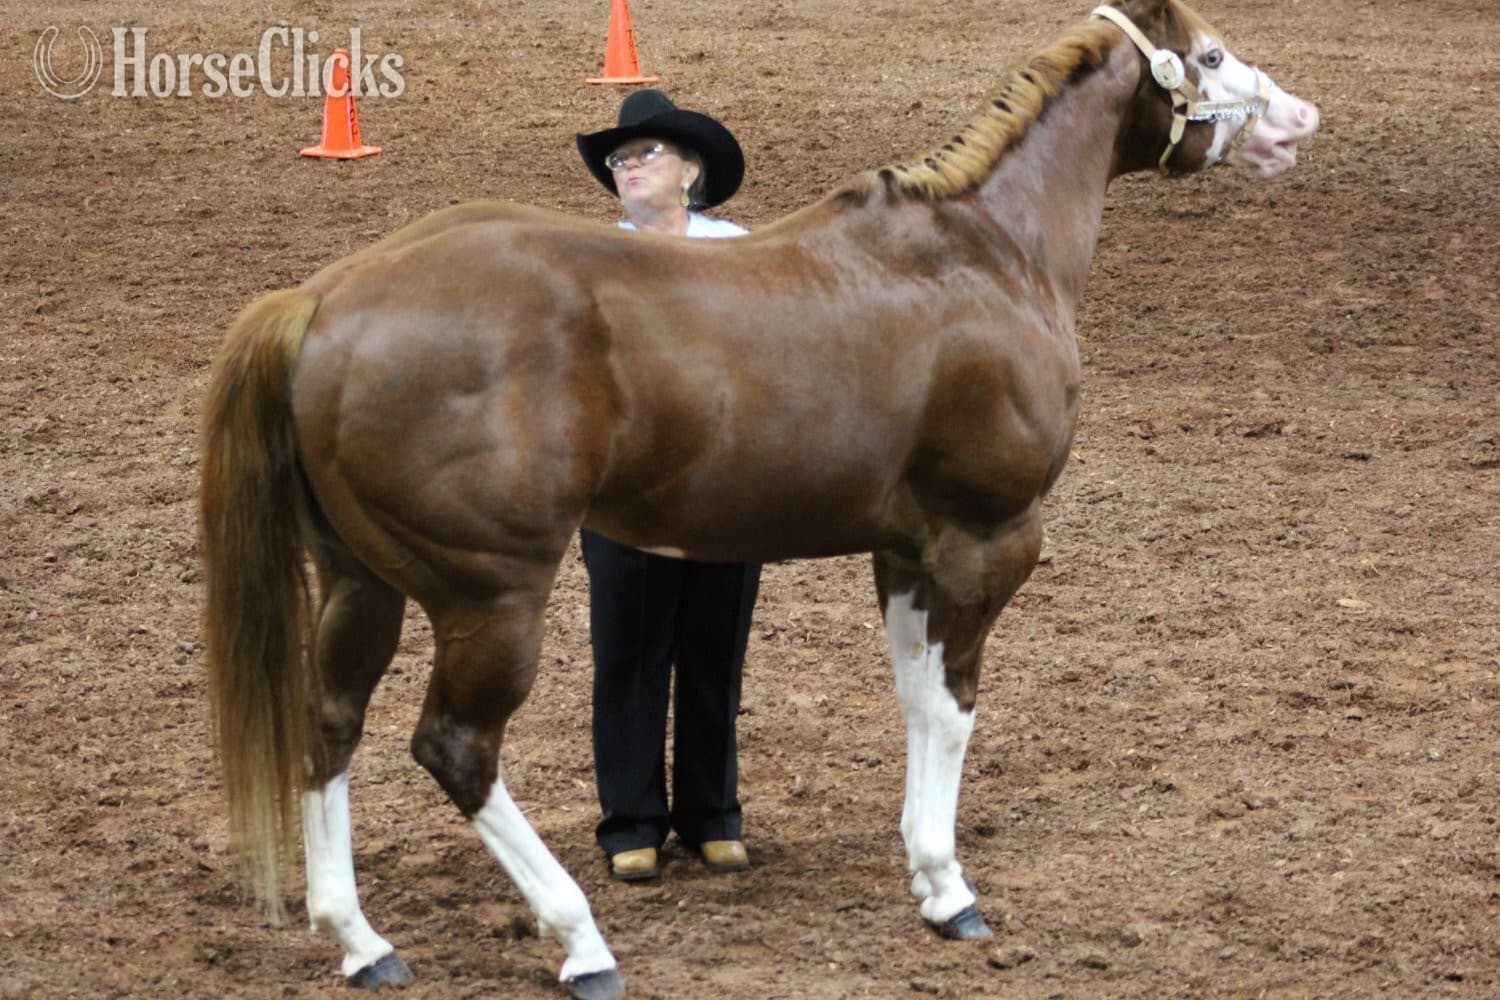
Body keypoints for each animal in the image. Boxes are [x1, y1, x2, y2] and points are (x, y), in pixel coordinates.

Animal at [199, 2, 1318, 996]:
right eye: (1211, 54)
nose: (1298, 118)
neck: (986, 252)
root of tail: (325, 299)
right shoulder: (989, 541)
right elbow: (955, 709)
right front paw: (952, 891)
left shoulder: (905, 553)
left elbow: (915, 700)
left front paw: (923, 874)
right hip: (490, 598)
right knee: (456, 748)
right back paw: (580, 941)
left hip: (363, 582)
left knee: (330, 722)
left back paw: (361, 941)